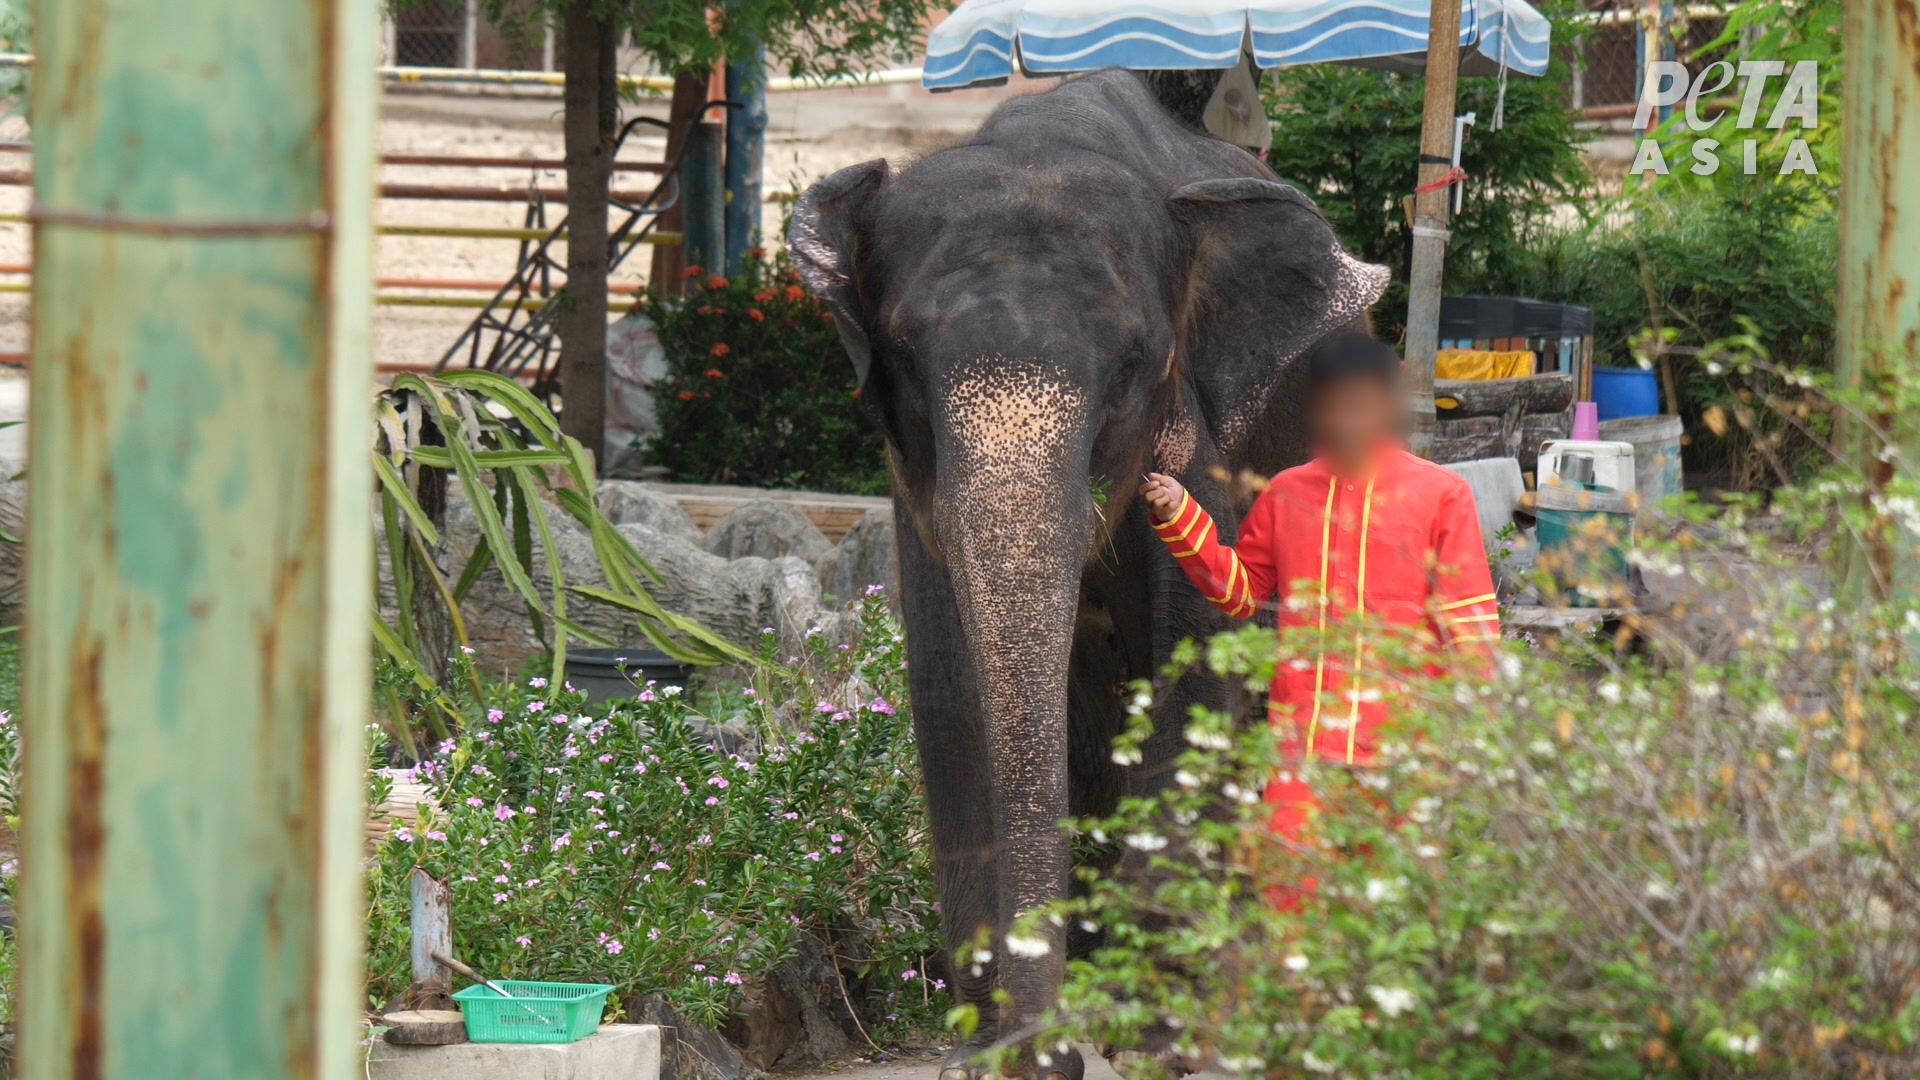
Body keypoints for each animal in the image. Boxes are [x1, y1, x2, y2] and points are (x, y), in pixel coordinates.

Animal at [789, 69, 1388, 1079]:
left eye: (1137, 366)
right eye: (904, 362)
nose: (1042, 1053)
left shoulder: (1201, 441)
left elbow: (1196, 666)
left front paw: (1145, 1036)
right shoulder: (911, 494)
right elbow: (949, 689)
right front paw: (988, 1041)